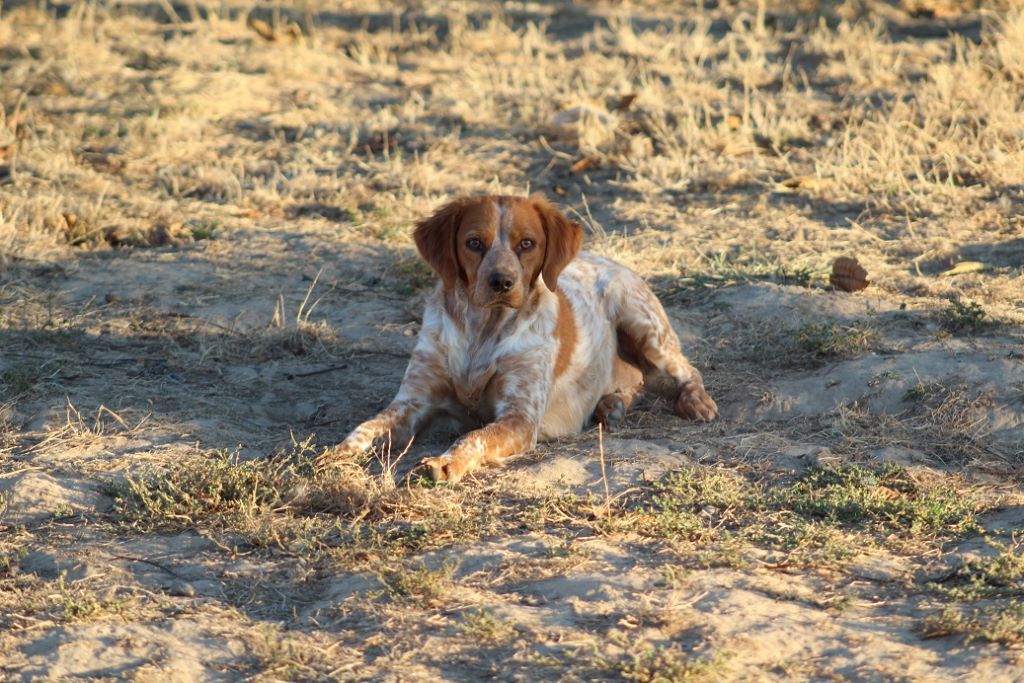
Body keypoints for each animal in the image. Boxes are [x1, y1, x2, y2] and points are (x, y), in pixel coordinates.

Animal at [315, 194, 716, 483]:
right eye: (474, 242)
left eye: (527, 243)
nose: (502, 282)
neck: (481, 331)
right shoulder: (412, 401)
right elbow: (365, 427)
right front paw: (337, 453)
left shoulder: (520, 417)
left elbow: (473, 436)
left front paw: (445, 462)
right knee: (634, 382)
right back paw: (611, 404)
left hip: (644, 325)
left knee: (688, 370)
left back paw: (696, 402)